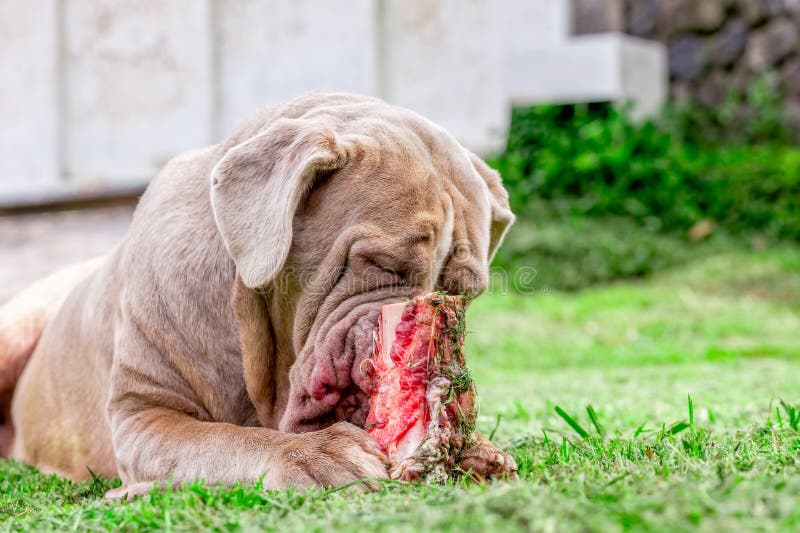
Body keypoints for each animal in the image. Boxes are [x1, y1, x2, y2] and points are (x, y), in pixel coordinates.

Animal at [0, 90, 520, 494]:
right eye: (381, 266)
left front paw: (476, 450)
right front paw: (314, 454)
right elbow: (223, 439)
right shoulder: (142, 415)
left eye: (463, 294)